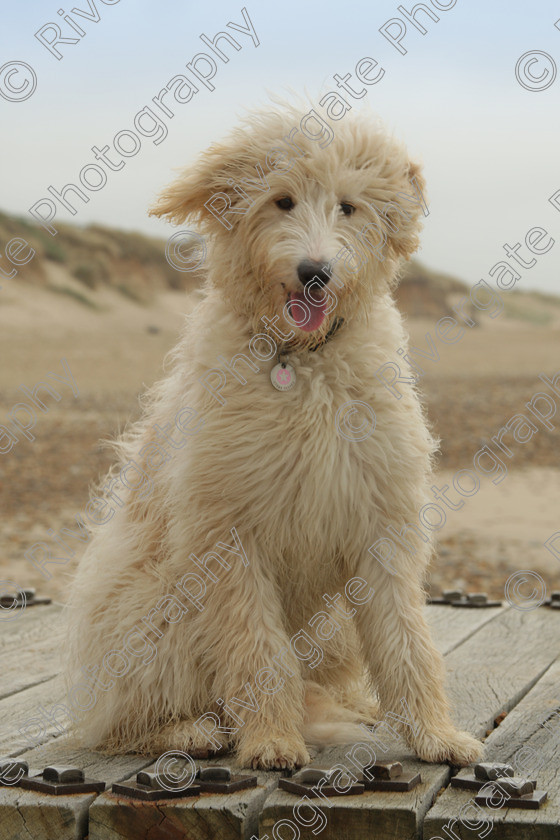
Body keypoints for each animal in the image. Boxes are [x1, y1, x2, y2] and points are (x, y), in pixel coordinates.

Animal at [64, 101, 482, 772]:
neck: (299, 359)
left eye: (348, 206)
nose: (315, 272)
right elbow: (257, 648)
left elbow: (407, 640)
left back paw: (349, 706)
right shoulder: (229, 539)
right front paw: (272, 741)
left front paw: (436, 734)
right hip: (154, 606)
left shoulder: (381, 521)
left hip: (332, 628)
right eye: (282, 201)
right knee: (119, 722)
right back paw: (191, 731)